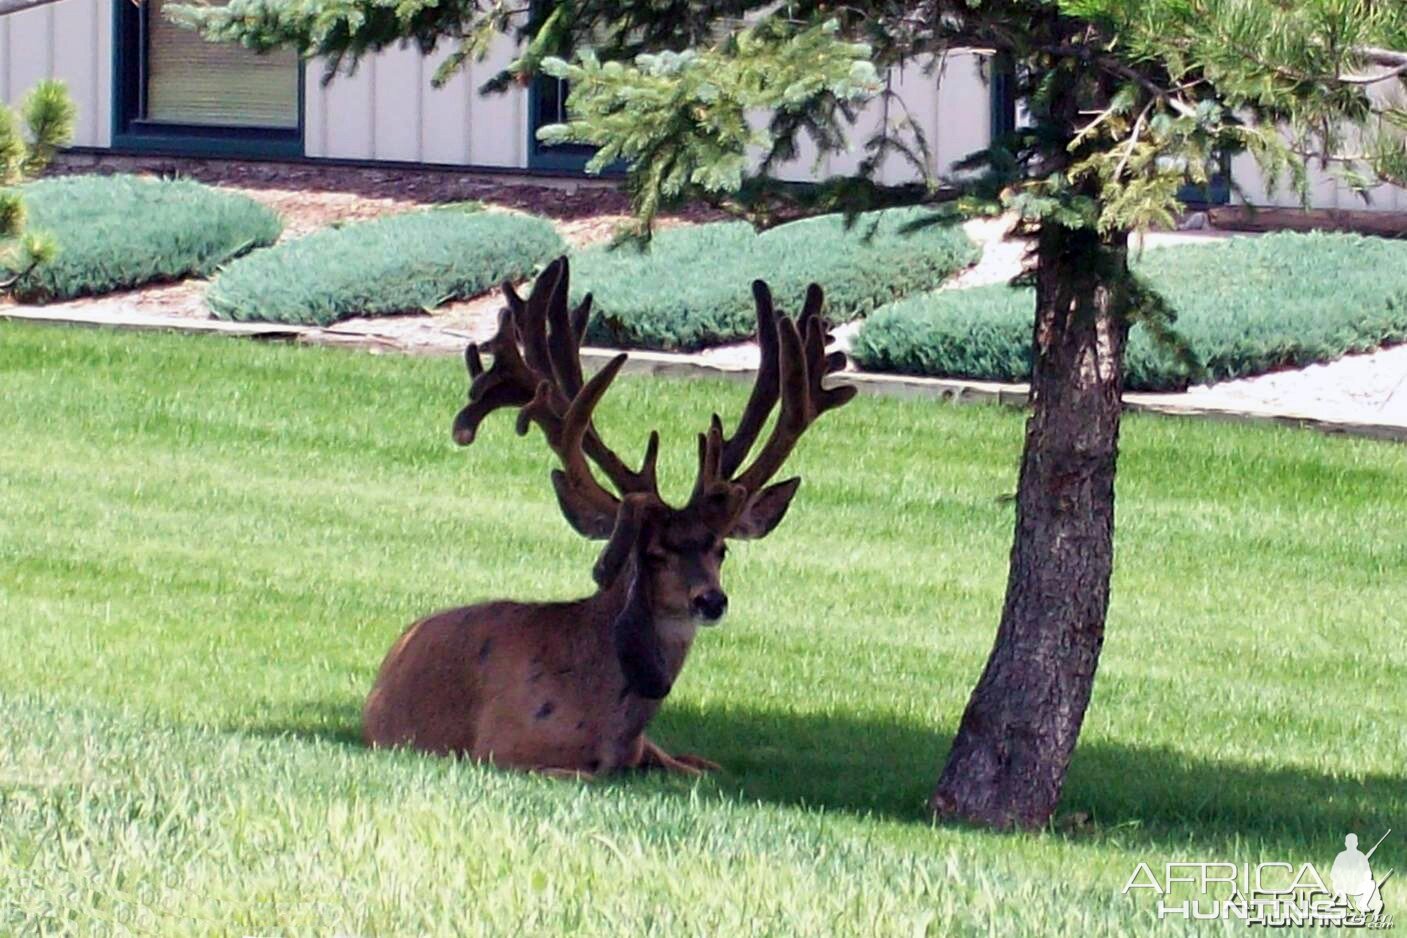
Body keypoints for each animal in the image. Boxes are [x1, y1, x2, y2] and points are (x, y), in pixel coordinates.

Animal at [360, 254, 855, 776]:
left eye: (721, 549)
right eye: (653, 553)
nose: (711, 600)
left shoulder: (648, 752)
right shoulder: (499, 749)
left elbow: (700, 767)